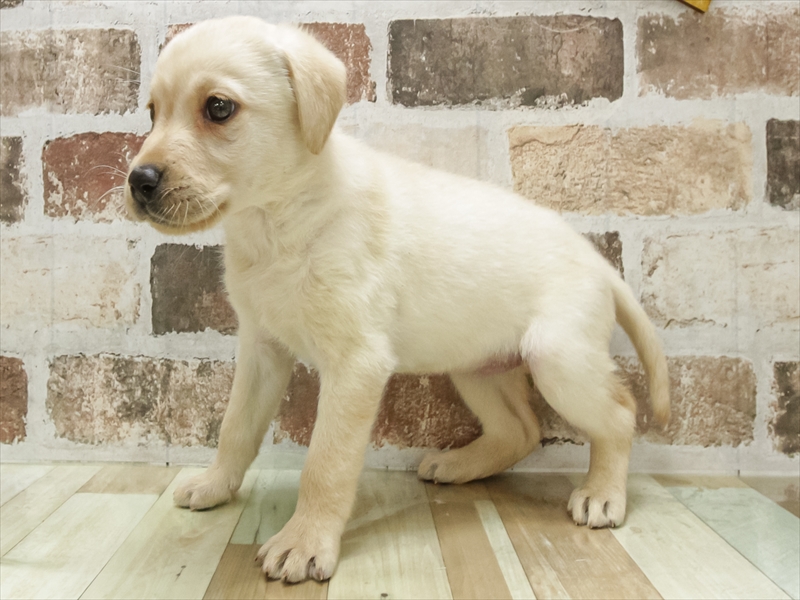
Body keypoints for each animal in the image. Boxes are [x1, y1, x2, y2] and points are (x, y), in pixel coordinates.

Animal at [125, 16, 670, 583]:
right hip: (476, 368)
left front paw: (304, 541)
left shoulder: (356, 364)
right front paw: (215, 485)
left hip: (560, 361)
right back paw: (458, 464)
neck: (279, 219)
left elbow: (326, 464)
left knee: (619, 415)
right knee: (520, 431)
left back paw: (602, 493)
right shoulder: (261, 349)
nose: (139, 181)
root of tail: (600, 263)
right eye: (152, 112)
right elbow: (236, 428)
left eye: (218, 108)